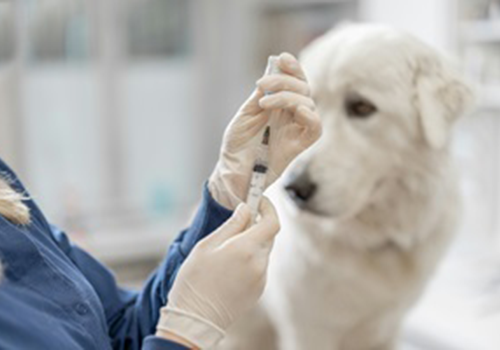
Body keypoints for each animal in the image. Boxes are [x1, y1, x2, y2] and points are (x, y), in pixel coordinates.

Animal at [215, 23, 472, 350]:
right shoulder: (308, 331)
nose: (294, 190)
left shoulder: (385, 330)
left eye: (361, 107)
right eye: (306, 109)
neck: (371, 241)